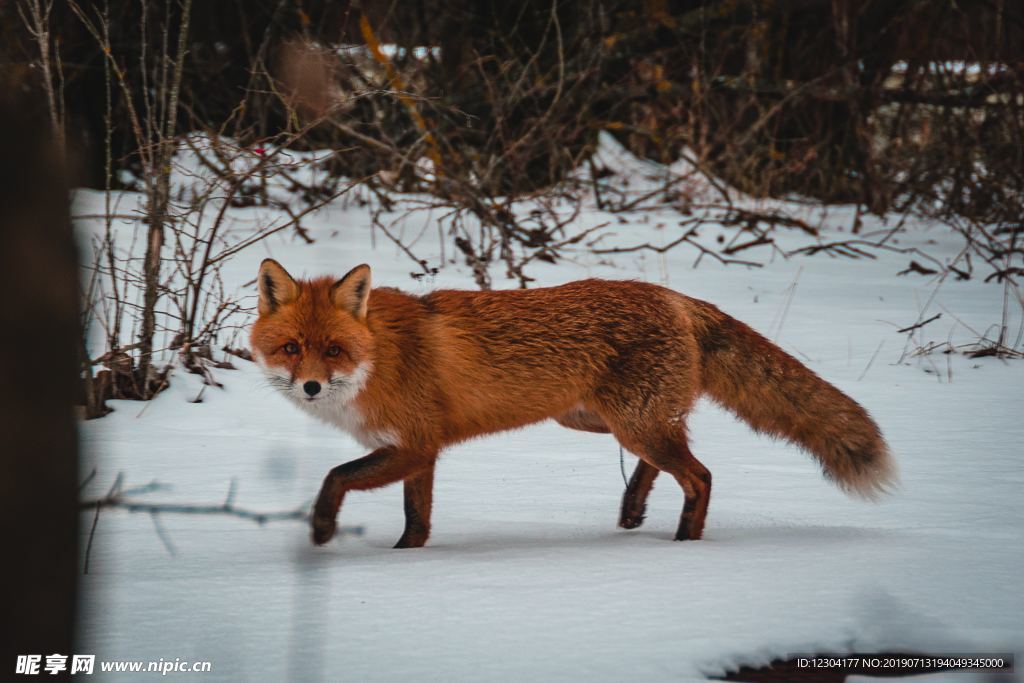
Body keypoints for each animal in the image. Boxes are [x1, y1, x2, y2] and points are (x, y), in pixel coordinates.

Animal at [251, 259, 892, 548]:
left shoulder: (413, 445)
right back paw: (633, 511)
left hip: (628, 422)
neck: (379, 357)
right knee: (669, 458)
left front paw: (322, 529)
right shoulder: (420, 453)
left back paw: (684, 545)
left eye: (333, 350)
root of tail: (674, 296)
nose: (310, 387)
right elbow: (418, 519)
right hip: (599, 419)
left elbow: (335, 476)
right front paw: (406, 558)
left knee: (701, 475)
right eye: (291, 348)